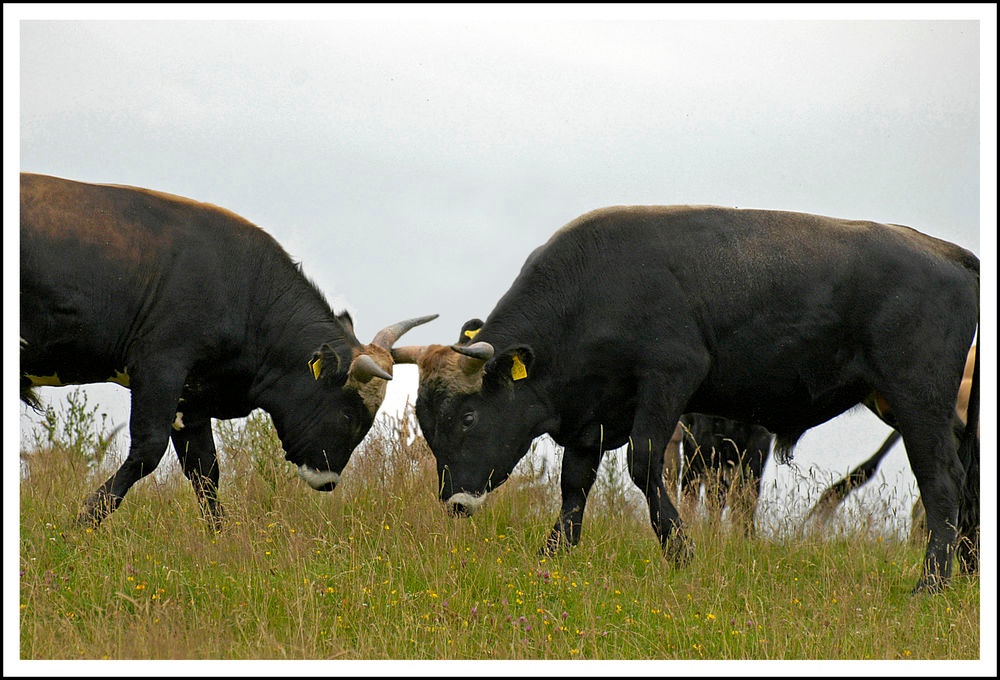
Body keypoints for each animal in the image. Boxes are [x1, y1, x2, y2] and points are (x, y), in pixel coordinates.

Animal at [20, 171, 438, 532]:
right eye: (350, 413)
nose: (328, 480)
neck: (243, 288)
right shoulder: (160, 368)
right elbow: (147, 451)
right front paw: (82, 523)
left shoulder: (190, 397)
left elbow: (205, 471)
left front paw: (220, 536)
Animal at [394, 205, 980, 592]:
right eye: (427, 422)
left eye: (469, 417)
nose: (455, 501)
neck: (594, 288)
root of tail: (949, 253)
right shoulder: (593, 417)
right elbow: (574, 484)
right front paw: (552, 557)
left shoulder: (669, 379)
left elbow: (644, 465)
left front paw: (681, 553)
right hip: (908, 405)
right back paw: (966, 569)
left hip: (917, 398)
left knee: (940, 480)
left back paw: (931, 584)